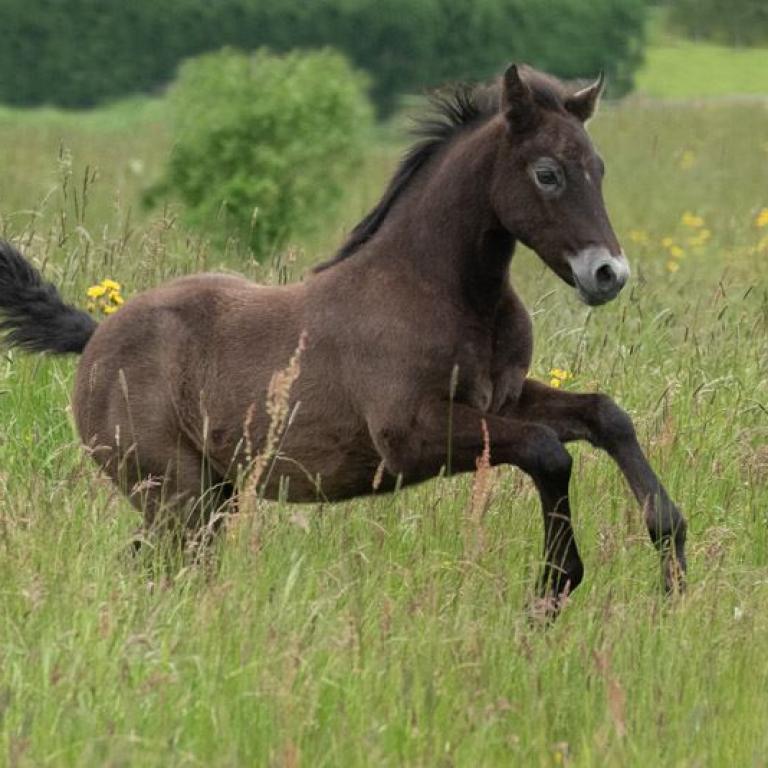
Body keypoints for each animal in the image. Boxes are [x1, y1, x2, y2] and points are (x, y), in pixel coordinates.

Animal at [0, 64, 687, 608]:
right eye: (547, 173)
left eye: (598, 168)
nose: (608, 274)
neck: (441, 290)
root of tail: (96, 336)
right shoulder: (410, 435)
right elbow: (549, 451)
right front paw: (554, 584)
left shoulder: (504, 397)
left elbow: (605, 416)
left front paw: (672, 554)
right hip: (177, 494)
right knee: (161, 564)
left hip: (209, 496)